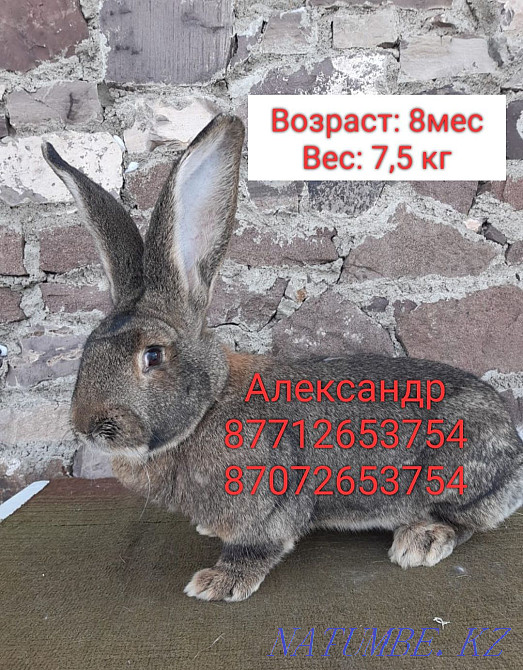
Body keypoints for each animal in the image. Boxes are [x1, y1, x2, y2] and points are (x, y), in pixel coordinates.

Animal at [42, 114, 523, 602]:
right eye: (87, 348)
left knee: (462, 520)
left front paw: (217, 583)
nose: (88, 426)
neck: (208, 406)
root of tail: (515, 451)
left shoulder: (266, 503)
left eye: (153, 355)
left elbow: (256, 546)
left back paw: (420, 541)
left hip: (454, 472)